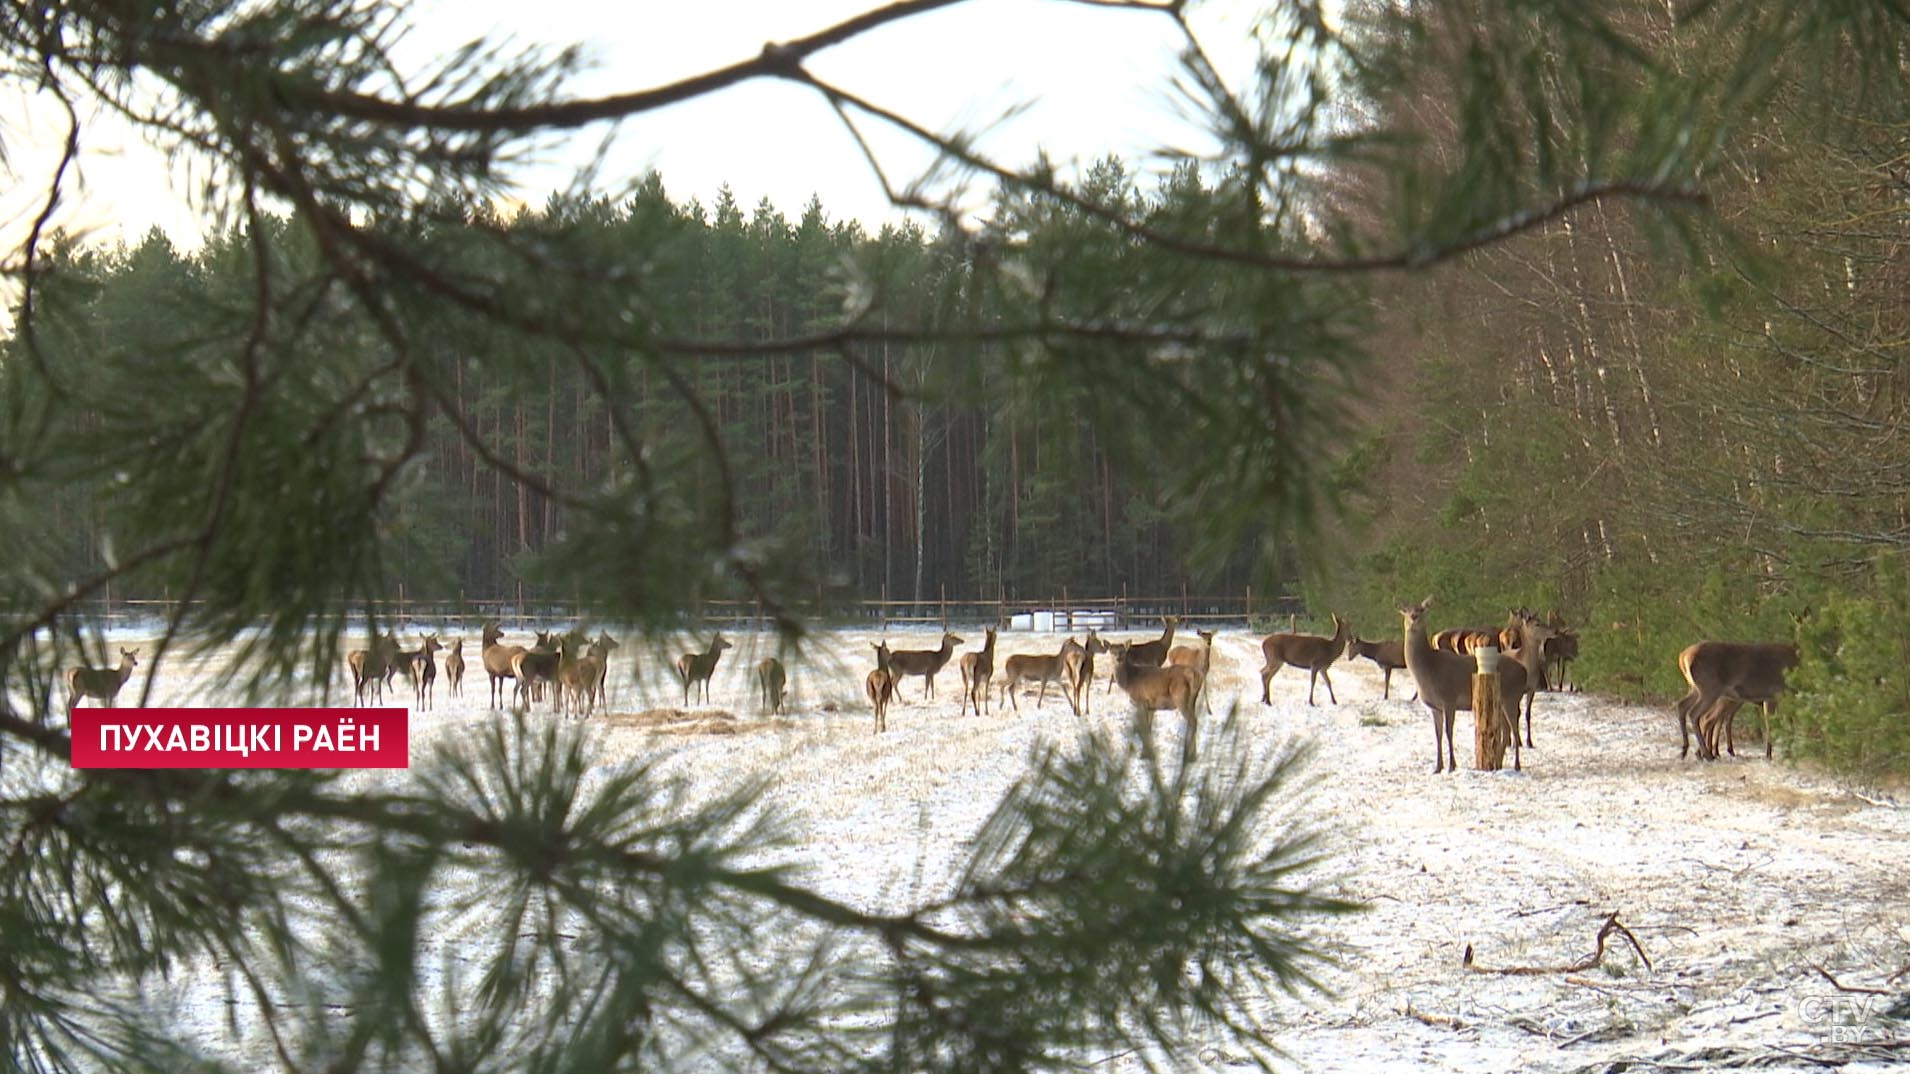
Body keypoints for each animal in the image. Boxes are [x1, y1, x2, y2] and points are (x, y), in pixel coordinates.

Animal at [1405, 592, 1535, 768]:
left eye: (1422, 609)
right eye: (1405, 611)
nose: (1413, 617)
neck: (1428, 670)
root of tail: (1523, 671)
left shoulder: (1449, 698)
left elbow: (1449, 732)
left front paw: (1452, 766)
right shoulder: (1434, 706)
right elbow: (1438, 735)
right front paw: (1438, 767)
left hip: (1511, 697)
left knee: (1514, 730)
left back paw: (1516, 765)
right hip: (1502, 702)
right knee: (1507, 730)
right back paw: (1498, 764)